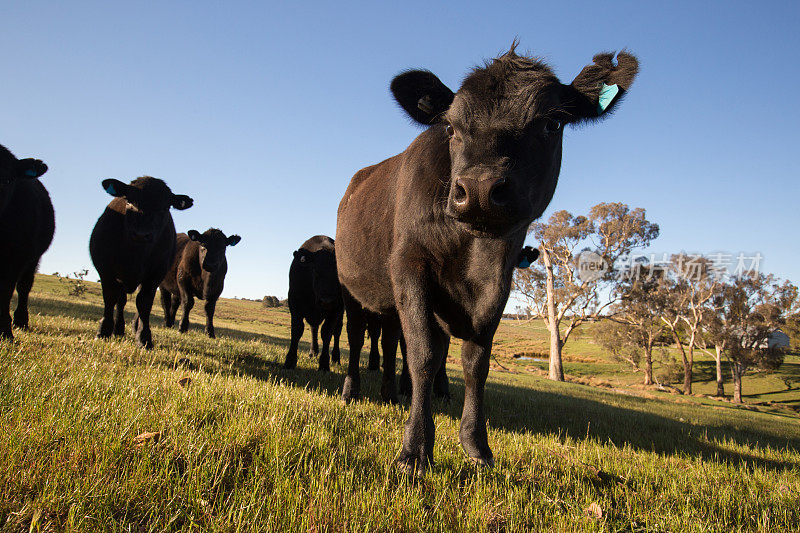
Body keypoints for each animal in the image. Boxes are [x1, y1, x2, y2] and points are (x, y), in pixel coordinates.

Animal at [0, 143, 54, 338]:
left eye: (7, 181)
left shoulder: (17, 257)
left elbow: (6, 291)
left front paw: (5, 331)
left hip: (33, 259)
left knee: (24, 286)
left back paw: (21, 321)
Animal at [89, 176, 194, 350]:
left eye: (165, 207)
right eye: (129, 200)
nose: (140, 234)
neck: (135, 254)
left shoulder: (155, 276)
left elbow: (144, 303)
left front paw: (144, 338)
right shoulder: (106, 270)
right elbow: (110, 298)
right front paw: (103, 331)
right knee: (121, 301)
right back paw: (118, 329)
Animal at [284, 235, 340, 372]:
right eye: (315, 270)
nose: (326, 301)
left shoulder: (336, 309)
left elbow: (327, 333)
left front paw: (324, 364)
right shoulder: (294, 304)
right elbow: (297, 330)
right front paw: (290, 361)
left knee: (337, 331)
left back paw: (336, 358)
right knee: (314, 328)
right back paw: (313, 352)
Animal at [336, 43, 636, 472]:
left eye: (552, 124)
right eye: (450, 128)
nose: (479, 188)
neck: (475, 254)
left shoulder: (499, 283)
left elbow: (475, 362)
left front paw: (476, 444)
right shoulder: (410, 265)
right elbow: (424, 354)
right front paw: (415, 449)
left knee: (393, 341)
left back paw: (393, 393)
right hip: (352, 288)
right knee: (360, 336)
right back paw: (351, 391)